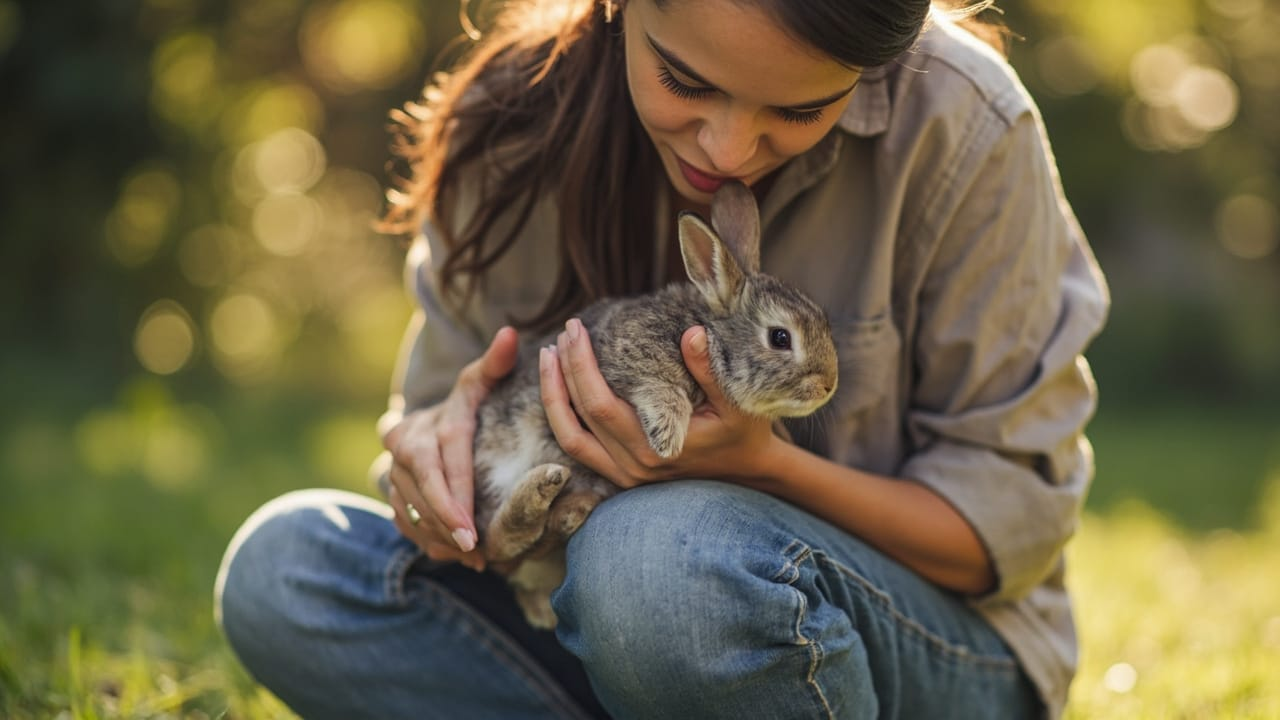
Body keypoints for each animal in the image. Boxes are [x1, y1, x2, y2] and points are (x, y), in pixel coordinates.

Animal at [466, 181, 840, 629]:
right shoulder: (623, 362)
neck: (708, 331)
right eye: (781, 338)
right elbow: (660, 387)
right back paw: (545, 491)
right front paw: (667, 437)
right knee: (498, 538)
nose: (828, 385)